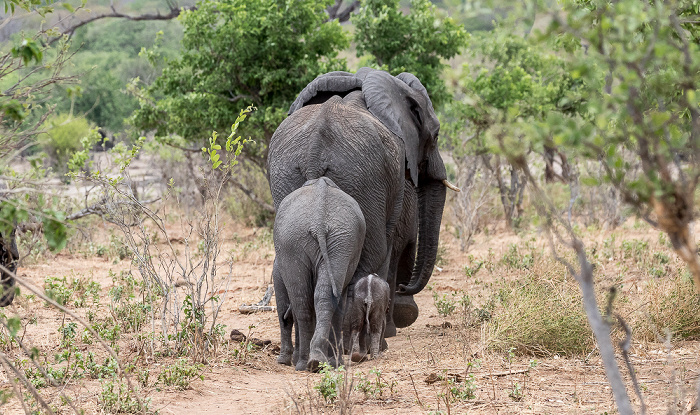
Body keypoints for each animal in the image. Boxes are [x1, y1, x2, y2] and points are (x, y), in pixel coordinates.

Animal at [272, 177, 366, 372]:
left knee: (303, 302)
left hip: (305, 241)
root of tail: (319, 222)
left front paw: (286, 361)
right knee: (323, 298)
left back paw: (305, 363)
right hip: (336, 241)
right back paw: (319, 361)